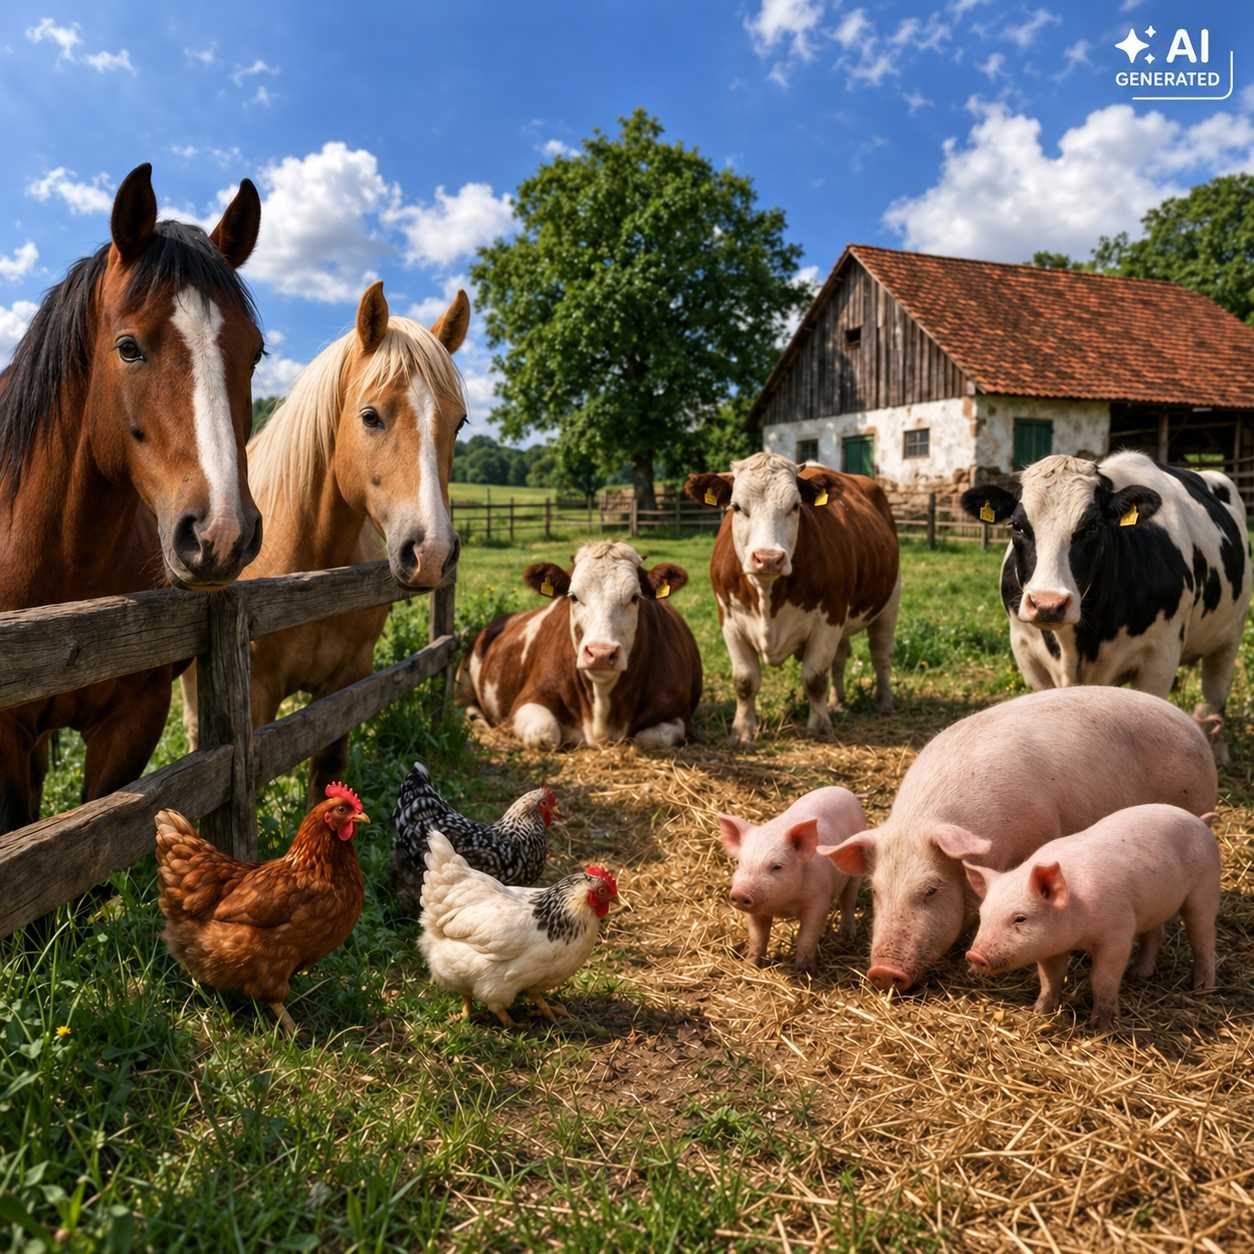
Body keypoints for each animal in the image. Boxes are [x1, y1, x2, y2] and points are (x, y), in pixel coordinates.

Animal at [182, 279, 468, 799]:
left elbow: (326, 772)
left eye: (459, 423)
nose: (433, 552)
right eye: (371, 416)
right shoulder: (255, 699)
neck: (309, 574)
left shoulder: (345, 684)